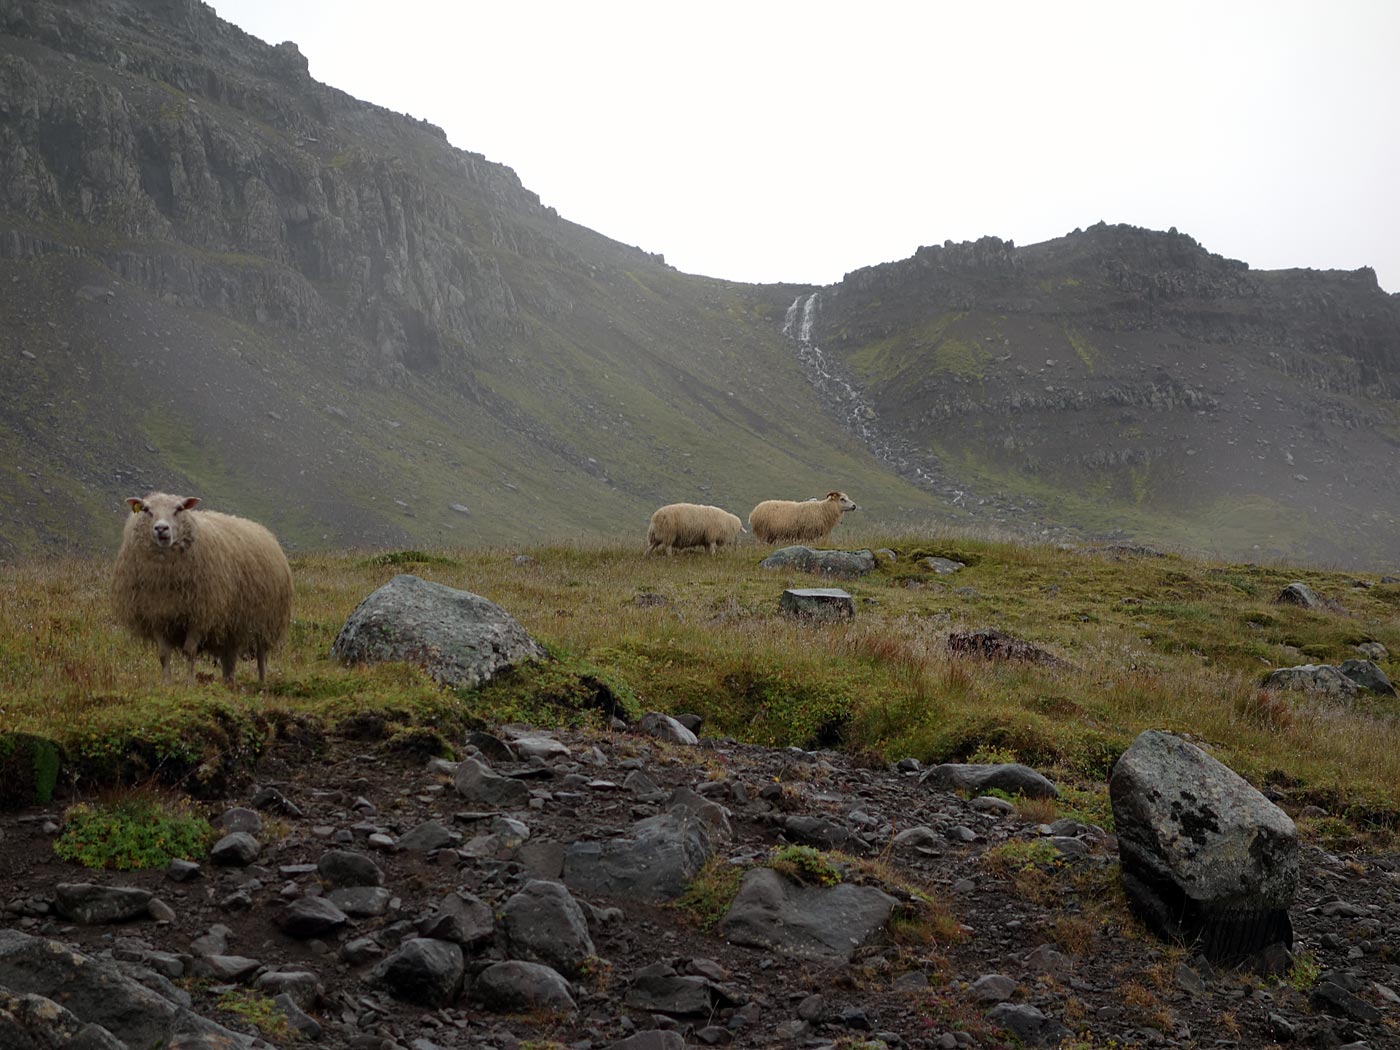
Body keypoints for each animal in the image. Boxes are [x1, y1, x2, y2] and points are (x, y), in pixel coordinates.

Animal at [115, 495, 298, 686]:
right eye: (146, 510)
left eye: (179, 509)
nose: (161, 528)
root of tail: (263, 530)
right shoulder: (157, 616)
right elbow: (164, 654)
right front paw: (166, 684)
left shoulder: (201, 615)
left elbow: (190, 651)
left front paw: (190, 684)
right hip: (231, 622)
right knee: (229, 656)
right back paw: (228, 682)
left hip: (266, 618)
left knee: (262, 654)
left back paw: (262, 682)